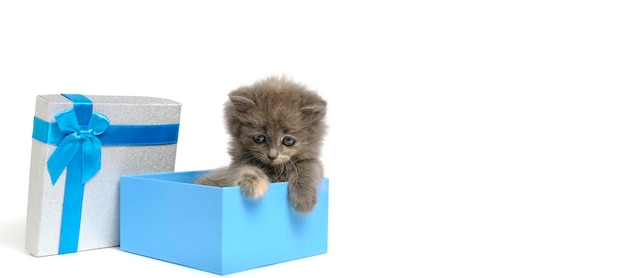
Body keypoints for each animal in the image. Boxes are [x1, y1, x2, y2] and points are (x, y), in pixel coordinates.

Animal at [197, 77, 326, 214]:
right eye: (259, 138)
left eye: (288, 140)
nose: (272, 156)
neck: (275, 170)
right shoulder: (234, 167)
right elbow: (244, 169)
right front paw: (253, 184)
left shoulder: (313, 162)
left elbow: (308, 167)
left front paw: (304, 198)